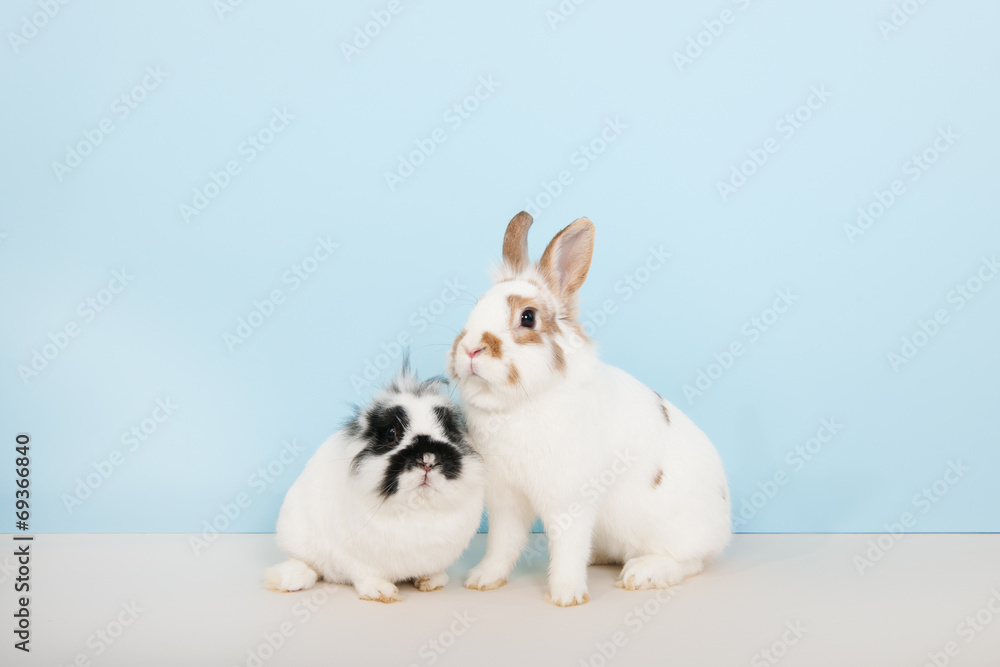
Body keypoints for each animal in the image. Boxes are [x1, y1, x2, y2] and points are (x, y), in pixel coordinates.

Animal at [264, 364, 485, 603]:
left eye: (449, 432)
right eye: (391, 433)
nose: (428, 460)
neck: (417, 507)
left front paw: (432, 581)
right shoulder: (357, 559)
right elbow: (366, 575)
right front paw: (382, 592)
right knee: (308, 565)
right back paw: (285, 580)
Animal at [447, 212, 731, 606]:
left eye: (528, 317)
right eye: (476, 308)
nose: (470, 349)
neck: (518, 405)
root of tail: (725, 524)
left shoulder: (570, 500)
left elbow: (567, 547)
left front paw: (566, 595)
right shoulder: (506, 501)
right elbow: (503, 544)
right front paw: (483, 579)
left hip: (676, 532)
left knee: (690, 562)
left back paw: (643, 573)